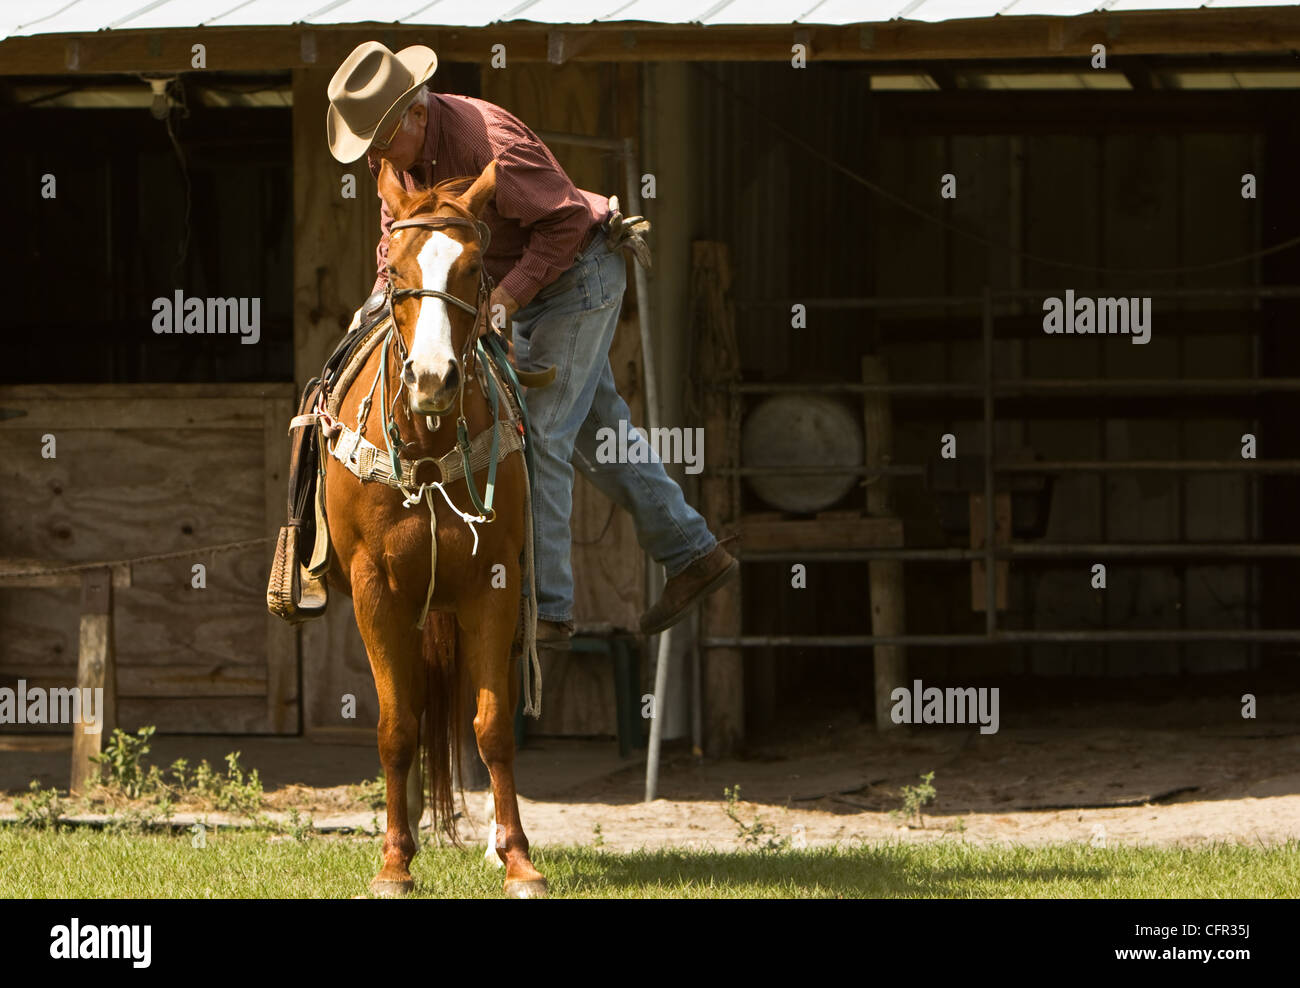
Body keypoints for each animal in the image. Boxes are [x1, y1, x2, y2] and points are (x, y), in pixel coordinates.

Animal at [321, 158, 547, 898]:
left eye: (474, 269)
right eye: (395, 267)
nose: (430, 378)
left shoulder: (492, 587)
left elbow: (492, 725)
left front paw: (518, 860)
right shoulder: (376, 591)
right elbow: (398, 728)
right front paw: (394, 862)